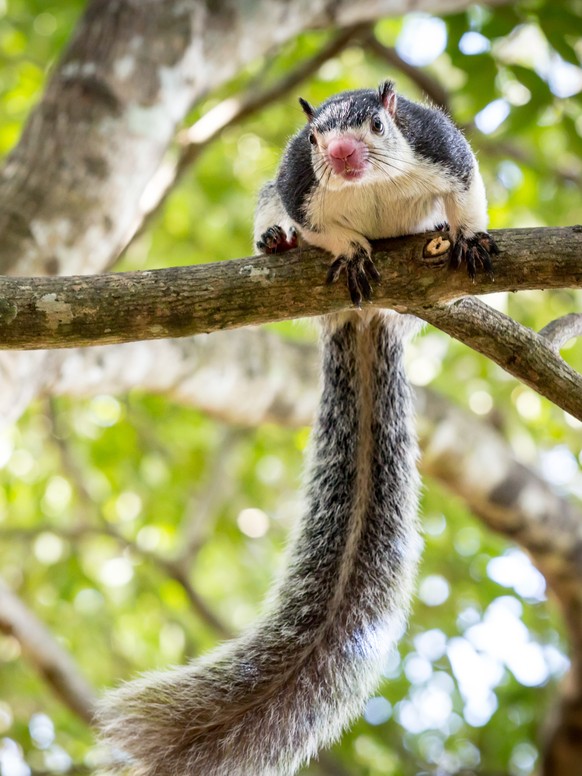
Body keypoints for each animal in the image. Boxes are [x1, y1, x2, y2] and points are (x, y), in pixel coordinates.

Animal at [98, 82, 500, 772]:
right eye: (315, 138)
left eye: (374, 125)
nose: (339, 155)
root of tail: (365, 319)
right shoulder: (296, 181)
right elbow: (317, 222)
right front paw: (346, 246)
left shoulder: (441, 147)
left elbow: (469, 190)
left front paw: (468, 234)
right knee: (275, 217)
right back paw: (279, 241)